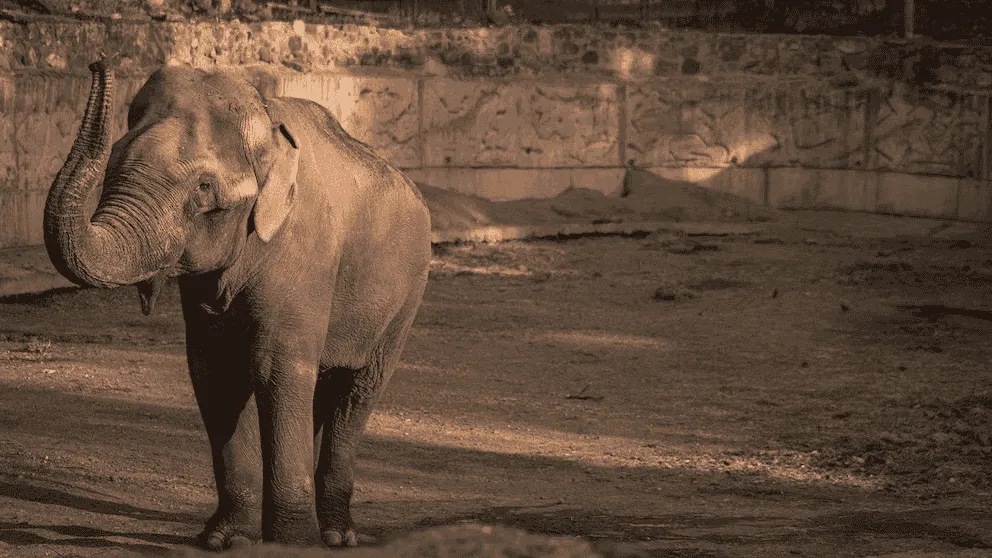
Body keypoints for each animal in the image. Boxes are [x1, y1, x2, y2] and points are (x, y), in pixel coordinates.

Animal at [43, 58, 432, 549]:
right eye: (111, 166)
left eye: (204, 187)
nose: (98, 63)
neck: (266, 119)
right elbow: (215, 373)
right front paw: (226, 540)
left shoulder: (304, 256)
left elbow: (274, 369)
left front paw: (292, 544)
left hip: (407, 295)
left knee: (356, 393)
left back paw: (337, 536)